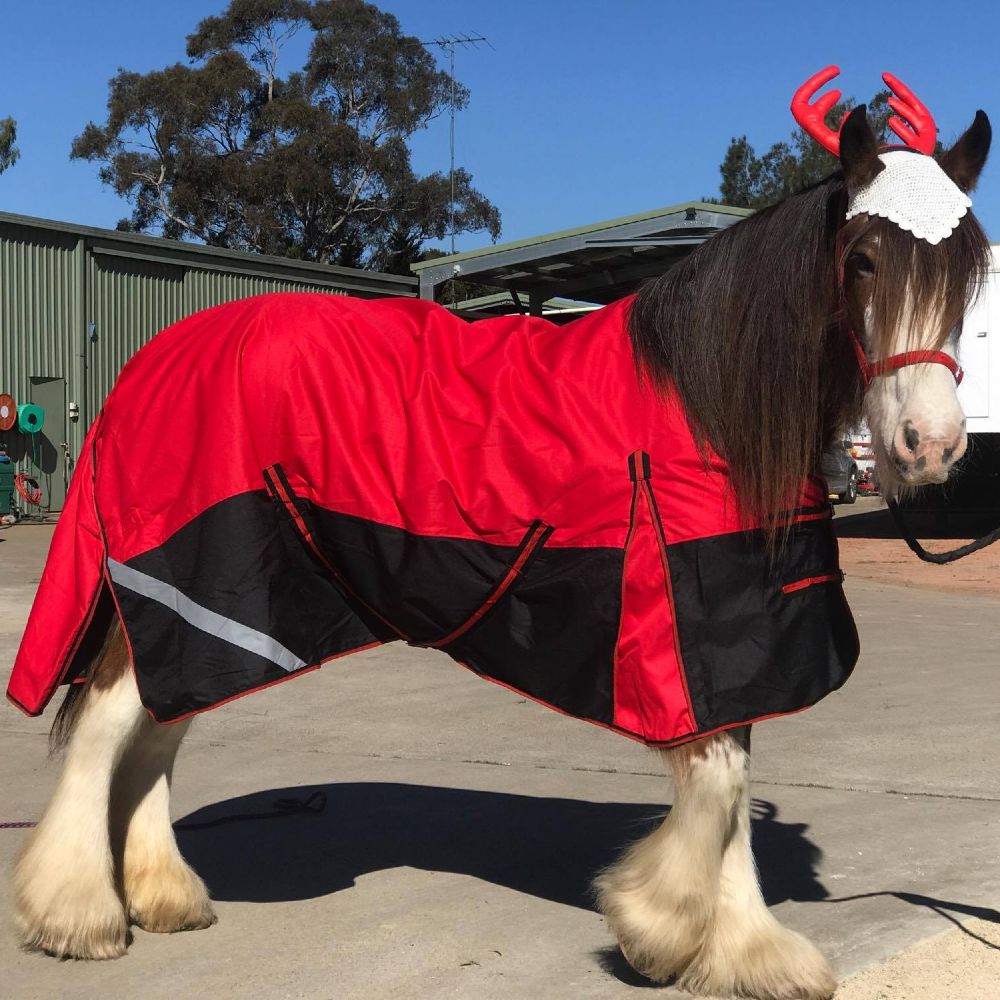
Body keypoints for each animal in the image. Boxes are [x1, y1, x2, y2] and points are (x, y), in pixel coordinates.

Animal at [7, 71, 991, 1000]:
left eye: (969, 265)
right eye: (862, 259)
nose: (931, 444)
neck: (704, 404)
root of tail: (153, 359)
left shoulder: (732, 640)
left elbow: (734, 781)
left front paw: (745, 953)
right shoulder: (674, 630)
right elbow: (715, 790)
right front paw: (658, 928)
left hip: (225, 622)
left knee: (158, 732)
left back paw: (162, 896)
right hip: (180, 580)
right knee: (104, 726)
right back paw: (76, 914)